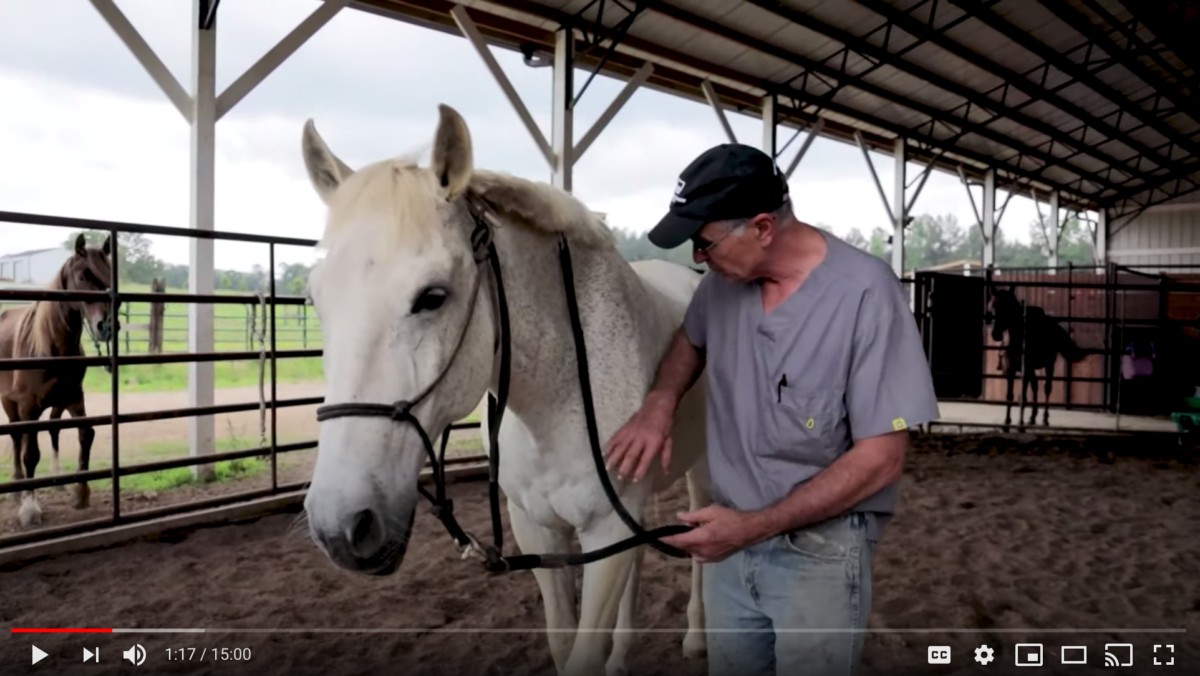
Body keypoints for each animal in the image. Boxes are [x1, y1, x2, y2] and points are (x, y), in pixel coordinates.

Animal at [0, 234, 115, 527]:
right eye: (84, 275)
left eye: (109, 273)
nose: (107, 326)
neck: (51, 346)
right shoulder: (28, 406)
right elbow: (30, 453)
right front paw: (29, 508)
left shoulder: (74, 397)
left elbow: (86, 434)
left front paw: (80, 493)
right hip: (10, 403)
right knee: (16, 435)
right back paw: (16, 488)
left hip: (57, 402)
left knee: (53, 428)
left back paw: (58, 478)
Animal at [299, 104, 711, 676]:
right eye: (315, 298)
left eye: (432, 296)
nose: (340, 527)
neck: (561, 403)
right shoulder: (540, 531)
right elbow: (564, 641)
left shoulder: (606, 529)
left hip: (701, 473)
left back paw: (696, 637)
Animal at [986, 285, 1086, 428]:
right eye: (992, 307)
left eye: (1008, 307)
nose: (996, 334)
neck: (1018, 338)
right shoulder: (1011, 369)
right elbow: (1010, 395)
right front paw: (1007, 422)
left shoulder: (1026, 369)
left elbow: (1022, 396)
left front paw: (1020, 422)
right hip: (1032, 369)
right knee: (1035, 385)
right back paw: (1032, 417)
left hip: (1049, 364)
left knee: (1047, 388)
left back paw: (1045, 419)